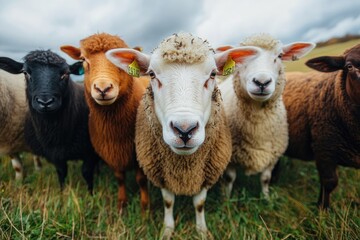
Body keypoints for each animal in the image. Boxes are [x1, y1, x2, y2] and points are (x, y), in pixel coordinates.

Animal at [0, 50, 100, 193]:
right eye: (26, 72)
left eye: (65, 73)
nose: (45, 102)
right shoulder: (55, 153)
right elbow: (61, 172)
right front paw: (62, 193)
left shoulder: (89, 152)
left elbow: (86, 172)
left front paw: (90, 193)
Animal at [60, 32, 149, 213]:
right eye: (83, 59)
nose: (103, 89)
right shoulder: (111, 151)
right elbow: (119, 177)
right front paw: (122, 204)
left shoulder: (140, 154)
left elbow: (141, 180)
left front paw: (145, 210)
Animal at [104, 31, 262, 238]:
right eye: (152, 74)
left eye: (213, 74)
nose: (185, 130)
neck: (184, 168)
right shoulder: (162, 175)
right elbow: (168, 202)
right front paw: (167, 230)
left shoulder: (204, 175)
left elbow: (199, 204)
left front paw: (202, 231)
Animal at [217, 34, 316, 199]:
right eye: (240, 58)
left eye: (280, 55)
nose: (262, 82)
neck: (258, 128)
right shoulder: (230, 157)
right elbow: (229, 179)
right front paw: (226, 199)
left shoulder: (272, 156)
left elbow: (265, 179)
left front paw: (266, 198)